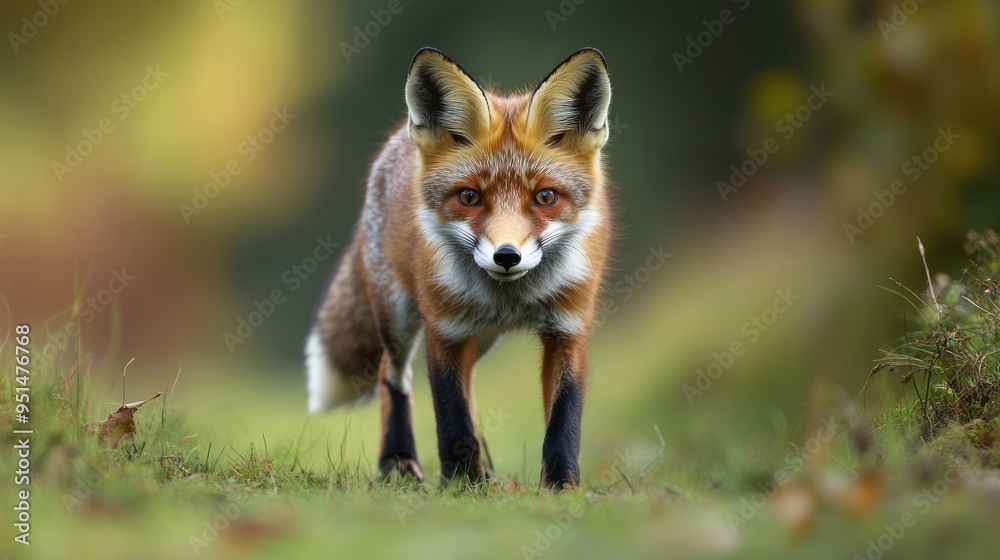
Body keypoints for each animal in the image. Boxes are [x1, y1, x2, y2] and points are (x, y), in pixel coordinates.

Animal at [305, 47, 613, 489]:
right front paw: (462, 483)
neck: (511, 298)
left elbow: (563, 420)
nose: (507, 256)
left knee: (467, 387)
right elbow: (452, 417)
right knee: (391, 374)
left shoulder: (568, 329)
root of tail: (396, 141)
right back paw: (398, 461)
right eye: (469, 197)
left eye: (545, 197)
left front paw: (561, 486)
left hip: (483, 339)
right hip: (399, 319)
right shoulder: (446, 329)